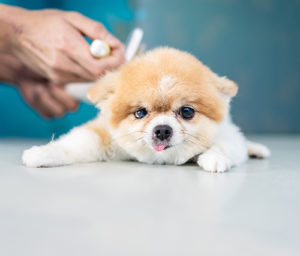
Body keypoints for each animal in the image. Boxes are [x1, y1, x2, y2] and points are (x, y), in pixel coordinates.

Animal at [21, 47, 270, 172]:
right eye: (140, 112)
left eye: (187, 112)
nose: (162, 130)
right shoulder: (107, 136)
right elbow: (76, 144)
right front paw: (44, 153)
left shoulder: (224, 133)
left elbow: (226, 145)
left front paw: (214, 158)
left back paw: (257, 149)